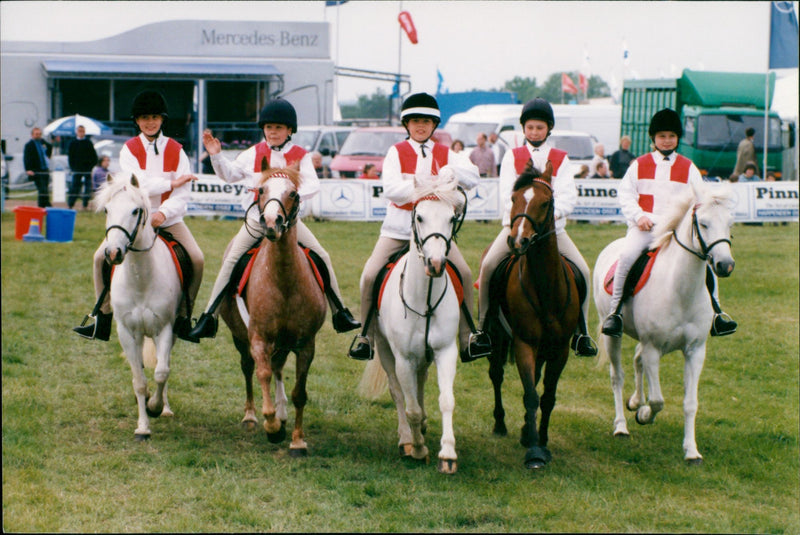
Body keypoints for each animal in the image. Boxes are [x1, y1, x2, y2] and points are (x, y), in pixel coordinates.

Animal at [94, 174, 182, 442]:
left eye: (135, 211)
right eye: (106, 210)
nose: (113, 252)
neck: (141, 278)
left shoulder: (164, 329)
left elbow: (162, 372)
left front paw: (155, 407)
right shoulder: (127, 333)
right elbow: (139, 381)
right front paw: (143, 426)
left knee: (165, 366)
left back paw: (164, 408)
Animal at [217, 159, 326, 456]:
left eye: (294, 193)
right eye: (261, 189)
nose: (270, 222)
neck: (284, 281)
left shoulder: (306, 344)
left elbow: (300, 392)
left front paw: (297, 440)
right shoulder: (258, 338)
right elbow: (262, 372)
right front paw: (272, 426)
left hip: (285, 342)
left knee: (278, 368)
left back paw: (283, 412)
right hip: (240, 336)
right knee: (249, 368)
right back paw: (251, 416)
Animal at [360, 178, 466, 476]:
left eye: (451, 218)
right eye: (419, 217)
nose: (436, 264)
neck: (425, 299)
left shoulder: (445, 351)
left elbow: (446, 400)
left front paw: (448, 454)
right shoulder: (404, 359)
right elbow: (410, 408)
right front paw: (418, 449)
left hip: (424, 356)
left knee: (420, 385)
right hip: (386, 351)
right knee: (399, 394)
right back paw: (407, 439)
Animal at [482, 161, 576, 472]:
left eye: (546, 202)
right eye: (513, 199)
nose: (517, 241)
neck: (546, 288)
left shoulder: (559, 350)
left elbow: (547, 397)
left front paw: (540, 439)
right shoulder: (524, 343)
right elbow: (532, 396)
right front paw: (535, 451)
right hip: (497, 338)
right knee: (497, 375)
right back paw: (501, 424)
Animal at [592, 182, 736, 462]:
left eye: (729, 223)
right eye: (703, 224)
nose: (725, 265)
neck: (680, 290)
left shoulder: (695, 351)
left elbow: (690, 403)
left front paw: (691, 451)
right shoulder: (653, 349)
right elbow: (658, 400)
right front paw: (644, 415)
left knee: (636, 362)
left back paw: (635, 401)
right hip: (612, 335)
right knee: (618, 377)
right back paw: (621, 426)